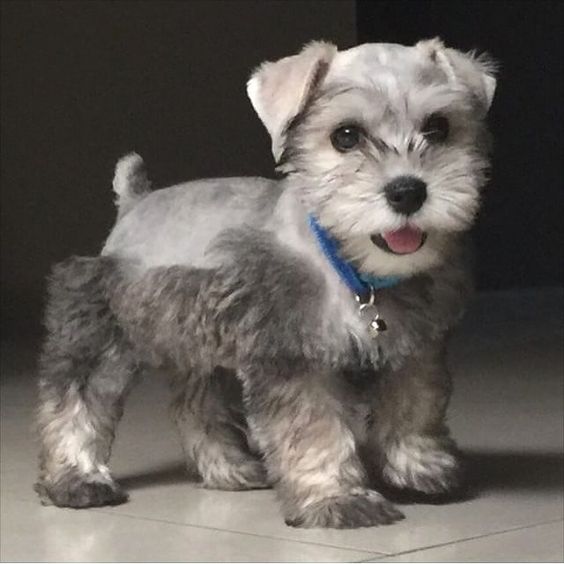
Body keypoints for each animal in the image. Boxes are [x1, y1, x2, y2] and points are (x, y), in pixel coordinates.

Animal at [35, 39, 496, 528]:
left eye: (438, 127)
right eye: (346, 136)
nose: (408, 191)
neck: (349, 267)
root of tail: (134, 201)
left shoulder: (415, 348)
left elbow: (414, 406)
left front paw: (420, 469)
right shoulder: (294, 357)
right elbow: (315, 429)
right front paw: (335, 497)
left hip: (200, 345)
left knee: (197, 407)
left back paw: (231, 469)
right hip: (102, 331)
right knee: (77, 399)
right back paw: (77, 479)